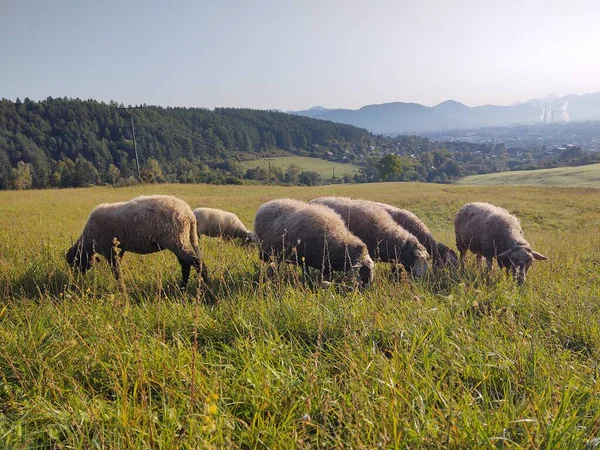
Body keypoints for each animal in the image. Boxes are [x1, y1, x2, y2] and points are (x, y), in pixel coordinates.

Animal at [66, 196, 209, 288]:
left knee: (196, 262)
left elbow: (116, 271)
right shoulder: (119, 248)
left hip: (176, 240)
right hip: (180, 240)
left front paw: (120, 287)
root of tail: (189, 214)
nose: (76, 279)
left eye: (75, 262)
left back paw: (205, 284)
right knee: (186, 264)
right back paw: (183, 287)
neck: (88, 240)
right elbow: (118, 266)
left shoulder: (108, 249)